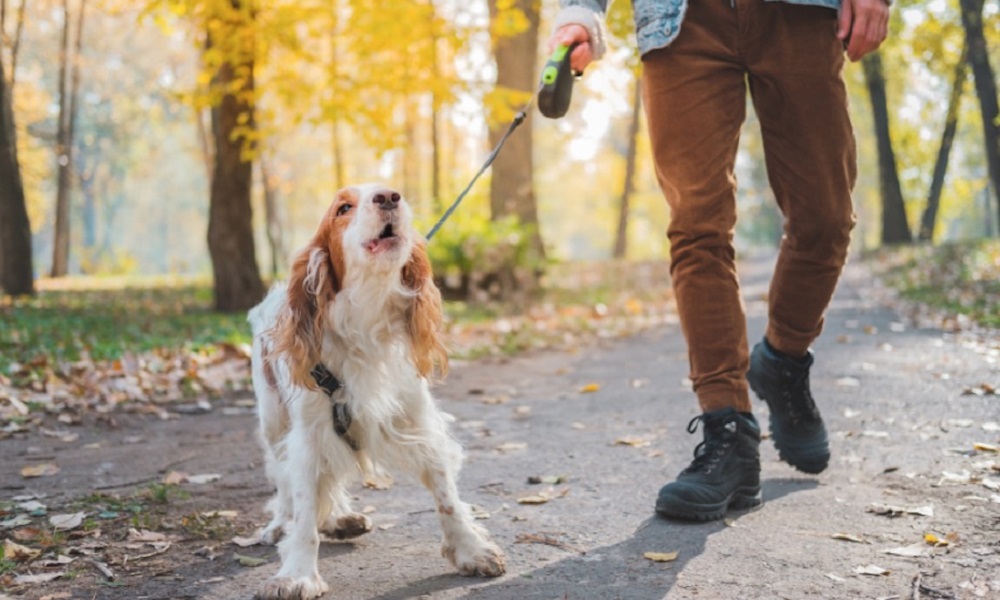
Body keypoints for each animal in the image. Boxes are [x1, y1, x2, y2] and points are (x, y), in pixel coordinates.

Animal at [246, 185, 504, 596]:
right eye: (343, 208)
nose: (388, 197)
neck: (366, 319)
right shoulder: (308, 435)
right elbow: (304, 510)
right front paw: (298, 574)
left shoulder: (417, 421)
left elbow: (446, 495)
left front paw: (470, 549)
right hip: (273, 421)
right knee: (284, 482)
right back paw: (280, 524)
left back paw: (340, 519)